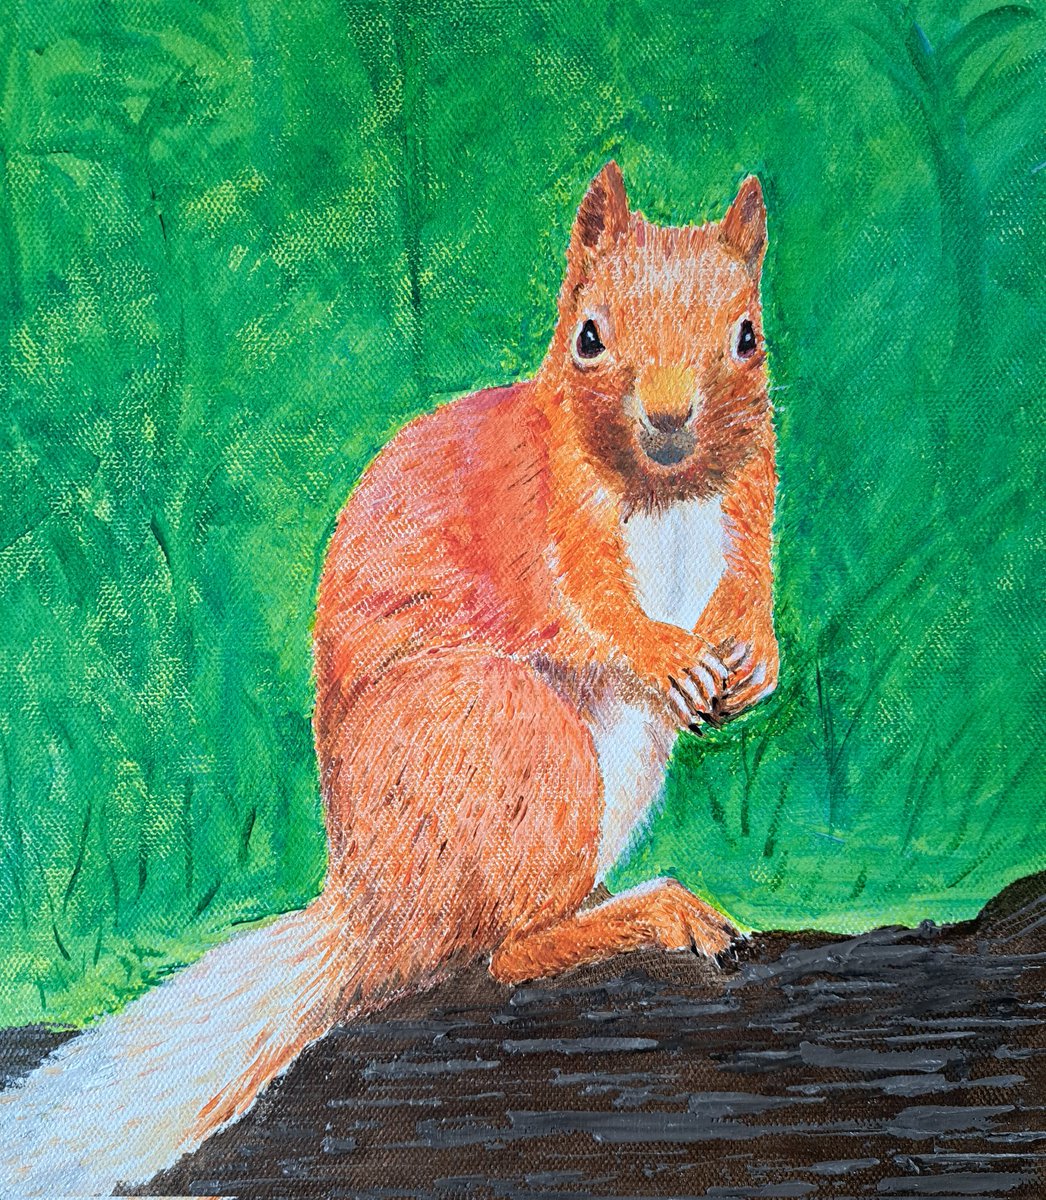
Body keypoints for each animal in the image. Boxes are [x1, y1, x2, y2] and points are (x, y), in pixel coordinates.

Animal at [0, 162, 778, 1195]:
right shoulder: (543, 526)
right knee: (507, 952)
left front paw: (756, 662)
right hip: (514, 735)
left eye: (748, 336)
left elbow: (753, 589)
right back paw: (649, 913)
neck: (666, 493)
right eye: (589, 336)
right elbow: (593, 617)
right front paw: (667, 655)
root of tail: (374, 908)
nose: (668, 420)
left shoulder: (749, 508)